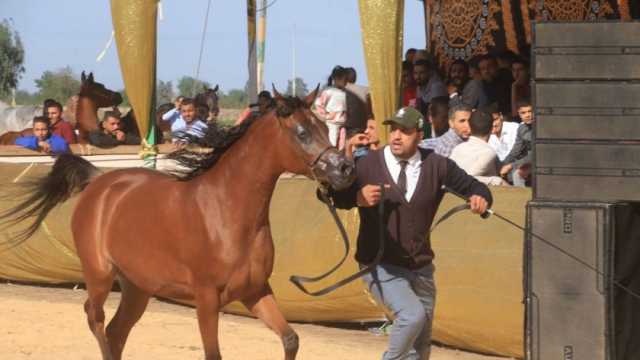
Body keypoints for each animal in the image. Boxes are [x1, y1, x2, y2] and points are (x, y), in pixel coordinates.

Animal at [0, 88, 352, 360]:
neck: (228, 212)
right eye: (302, 133)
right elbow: (214, 354)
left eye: (325, 127)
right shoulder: (207, 298)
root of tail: (98, 181)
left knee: (116, 331)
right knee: (95, 319)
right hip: (99, 274)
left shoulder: (256, 291)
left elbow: (291, 339)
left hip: (137, 288)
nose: (345, 168)